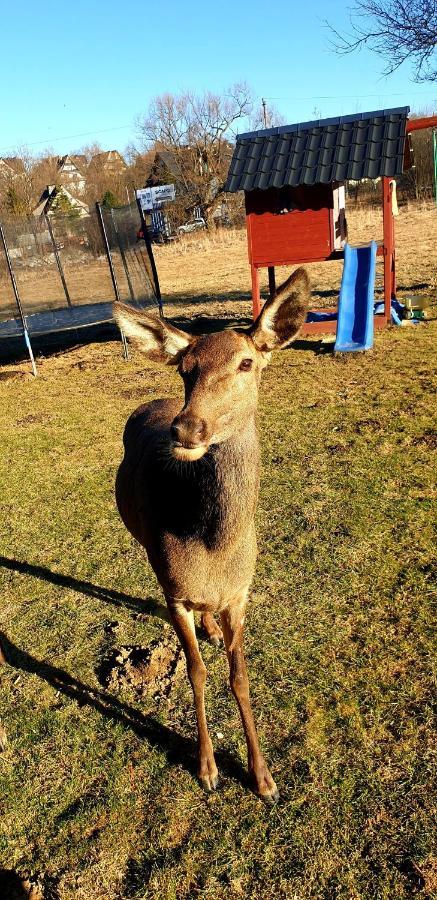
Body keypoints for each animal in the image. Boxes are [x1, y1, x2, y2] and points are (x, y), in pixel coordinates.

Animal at [112, 268, 310, 800]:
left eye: (246, 362)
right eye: (186, 368)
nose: (186, 429)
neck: (213, 549)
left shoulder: (241, 591)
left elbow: (239, 675)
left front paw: (264, 778)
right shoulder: (174, 592)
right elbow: (196, 671)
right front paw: (208, 768)